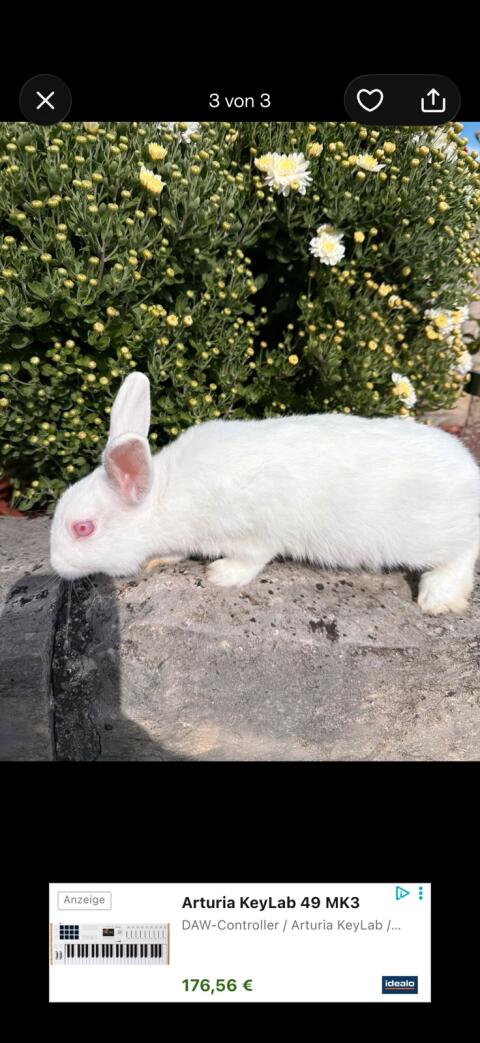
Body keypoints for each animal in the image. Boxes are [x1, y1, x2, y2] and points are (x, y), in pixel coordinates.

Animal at [50, 371, 480, 615]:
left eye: (83, 528)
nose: (55, 566)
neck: (165, 496)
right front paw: (159, 560)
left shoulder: (256, 530)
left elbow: (252, 558)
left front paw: (219, 575)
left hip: (432, 534)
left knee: (463, 551)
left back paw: (438, 599)